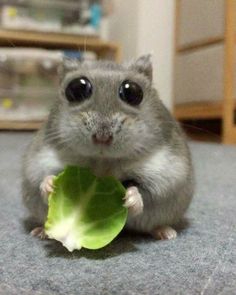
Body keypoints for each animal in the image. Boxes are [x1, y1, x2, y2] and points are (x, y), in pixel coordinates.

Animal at [21, 55, 194, 240]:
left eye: (132, 92)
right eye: (76, 88)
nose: (102, 137)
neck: (102, 161)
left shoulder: (167, 175)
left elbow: (145, 193)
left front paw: (130, 199)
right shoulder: (37, 164)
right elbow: (42, 180)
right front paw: (50, 185)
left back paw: (167, 233)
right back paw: (39, 232)